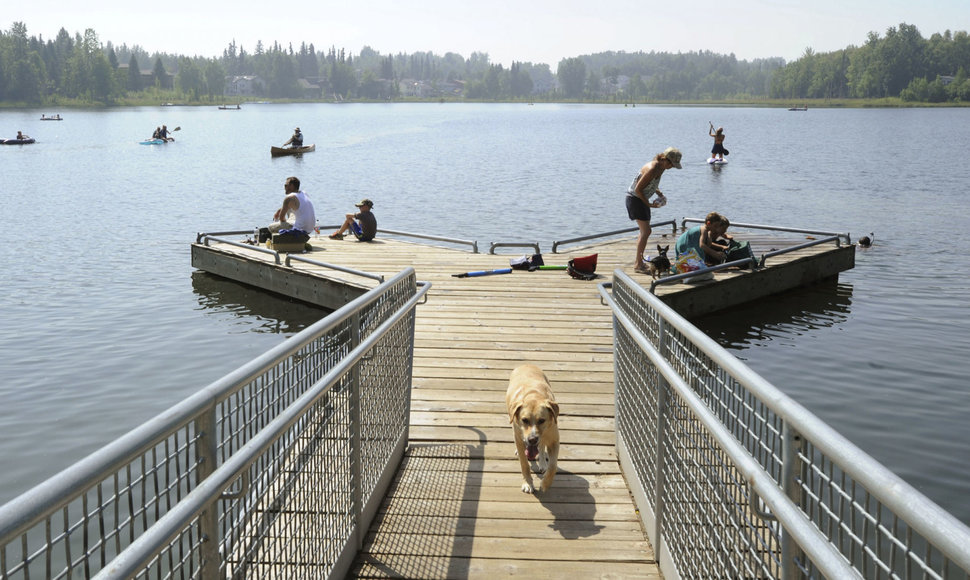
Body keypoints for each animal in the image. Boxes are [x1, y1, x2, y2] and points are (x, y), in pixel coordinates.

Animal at [506, 364, 560, 492]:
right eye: (524, 420)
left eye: (542, 420)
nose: (532, 439)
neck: (534, 396)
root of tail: (526, 364)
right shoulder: (520, 438)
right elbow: (524, 464)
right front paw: (527, 484)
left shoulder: (554, 440)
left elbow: (553, 466)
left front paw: (545, 484)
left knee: (542, 446)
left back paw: (542, 462)